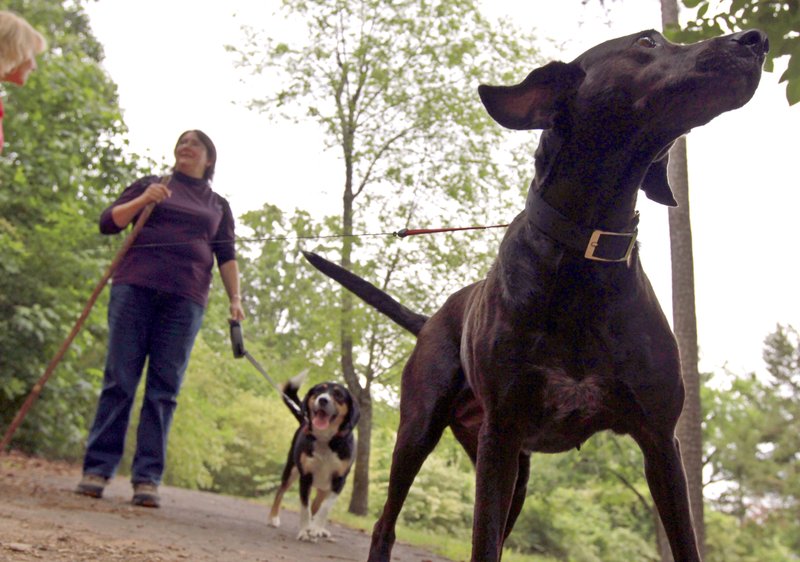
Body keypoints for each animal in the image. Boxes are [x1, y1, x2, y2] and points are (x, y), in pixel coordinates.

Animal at [268, 370, 358, 540]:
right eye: (318, 391)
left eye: (338, 395)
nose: (322, 399)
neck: (325, 438)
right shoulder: (306, 477)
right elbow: (305, 508)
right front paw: (304, 531)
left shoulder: (339, 481)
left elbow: (325, 507)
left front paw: (316, 528)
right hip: (291, 471)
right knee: (280, 492)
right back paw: (273, 518)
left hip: (325, 486)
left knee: (317, 504)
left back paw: (318, 528)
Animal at [304, 28, 764, 556]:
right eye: (647, 40)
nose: (756, 39)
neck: (584, 257)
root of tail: (434, 317)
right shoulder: (501, 435)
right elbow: (481, 545)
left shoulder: (660, 442)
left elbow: (685, 543)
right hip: (422, 430)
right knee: (387, 522)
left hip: (515, 472)